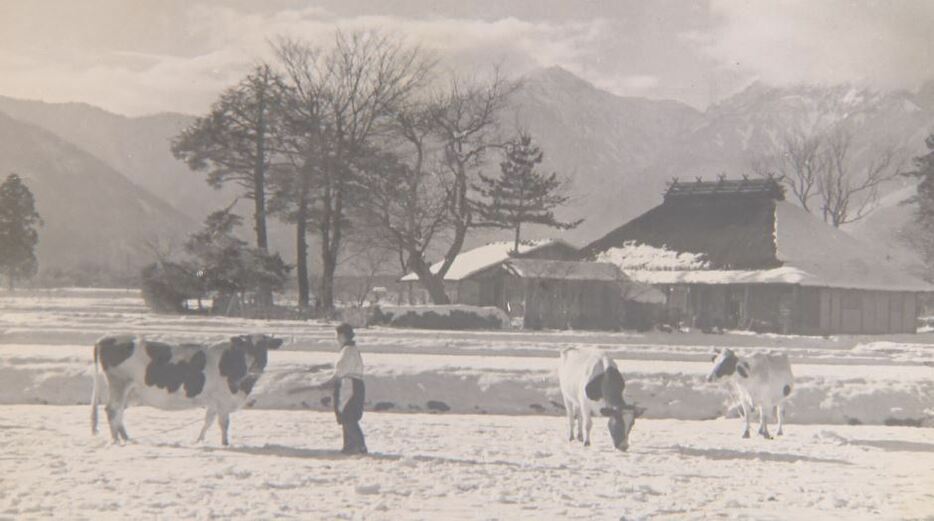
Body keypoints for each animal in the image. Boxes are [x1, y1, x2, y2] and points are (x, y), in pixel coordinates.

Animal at [90, 334, 284, 442]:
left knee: (119, 413)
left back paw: (125, 438)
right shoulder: (223, 401)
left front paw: (199, 441)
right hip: (119, 383)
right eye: (248, 346)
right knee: (112, 410)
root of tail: (105, 339)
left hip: (129, 391)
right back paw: (116, 440)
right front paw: (225, 444)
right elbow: (224, 424)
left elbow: (207, 422)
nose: (257, 366)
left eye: (266, 347)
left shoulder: (214, 402)